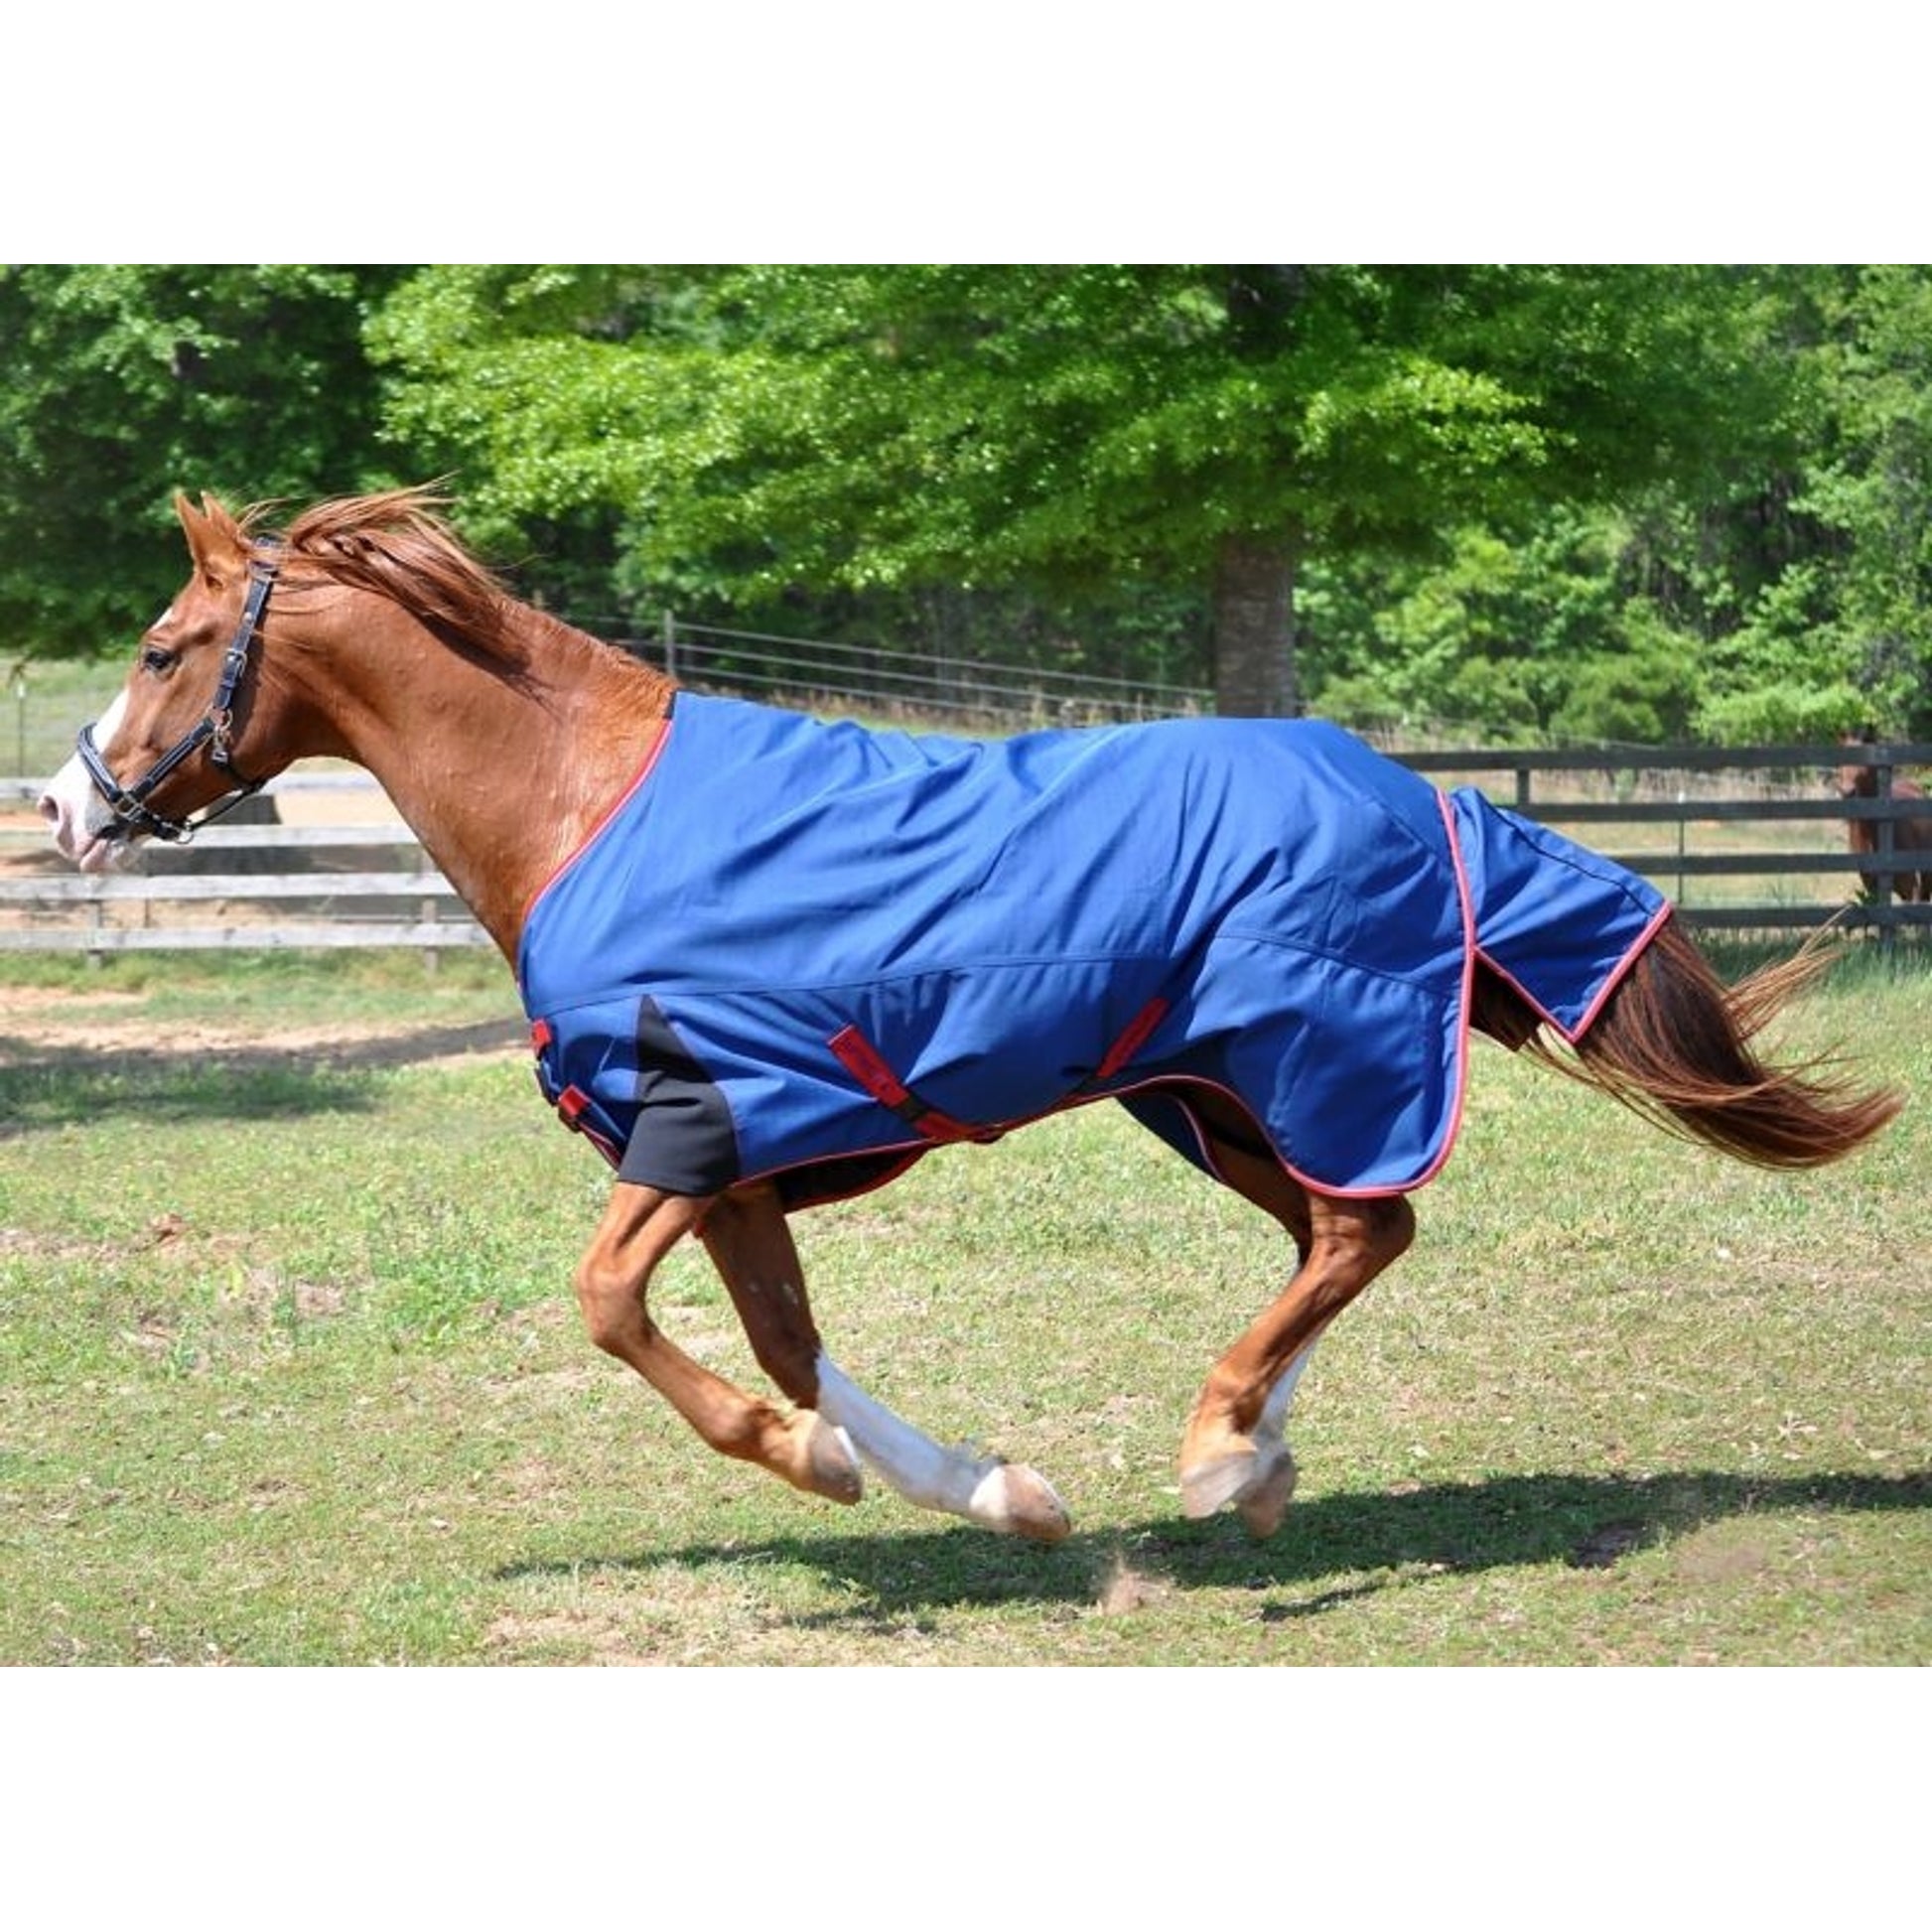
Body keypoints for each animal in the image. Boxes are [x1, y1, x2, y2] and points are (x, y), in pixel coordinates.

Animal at [38, 490, 1905, 1545]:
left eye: (162, 644)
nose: (62, 812)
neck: (583, 805)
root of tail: (1411, 790)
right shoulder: (738, 1164)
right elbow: (788, 1340)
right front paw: (992, 1492)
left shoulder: (687, 1122)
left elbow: (614, 1311)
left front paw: (809, 1470)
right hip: (1208, 1094)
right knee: (1348, 1234)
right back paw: (1258, 1457)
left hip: (1305, 1060)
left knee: (1360, 1227)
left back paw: (1221, 1446)